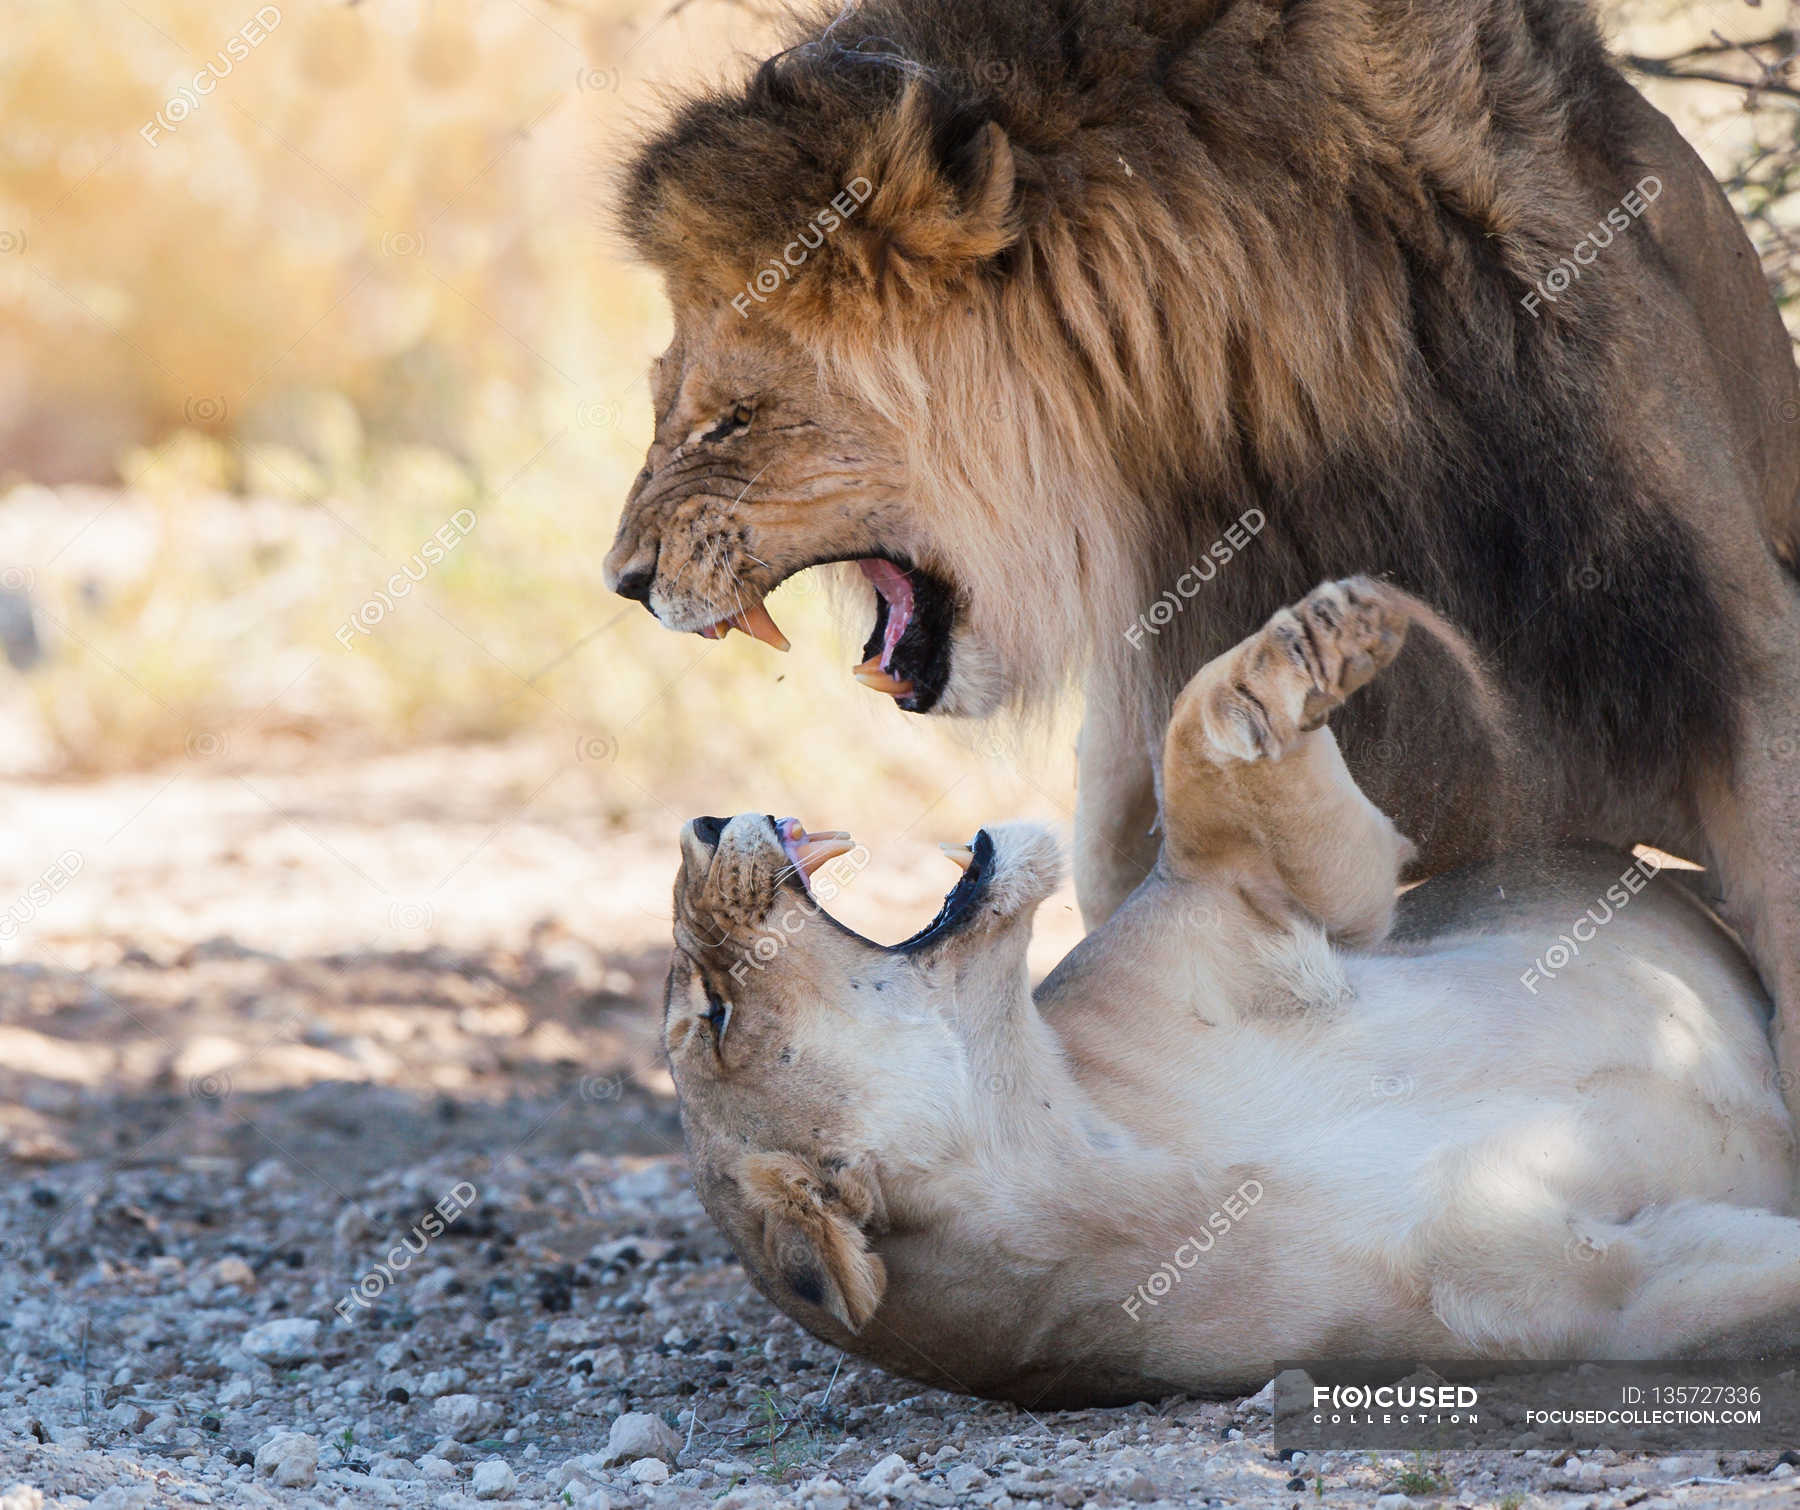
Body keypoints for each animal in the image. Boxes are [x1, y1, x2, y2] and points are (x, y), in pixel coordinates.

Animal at [666, 579, 1800, 1403]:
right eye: (712, 1015)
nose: (699, 827)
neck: (1093, 1155)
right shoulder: (1582, 1291)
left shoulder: (1251, 900)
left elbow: (1200, 755)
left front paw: (1310, 645)